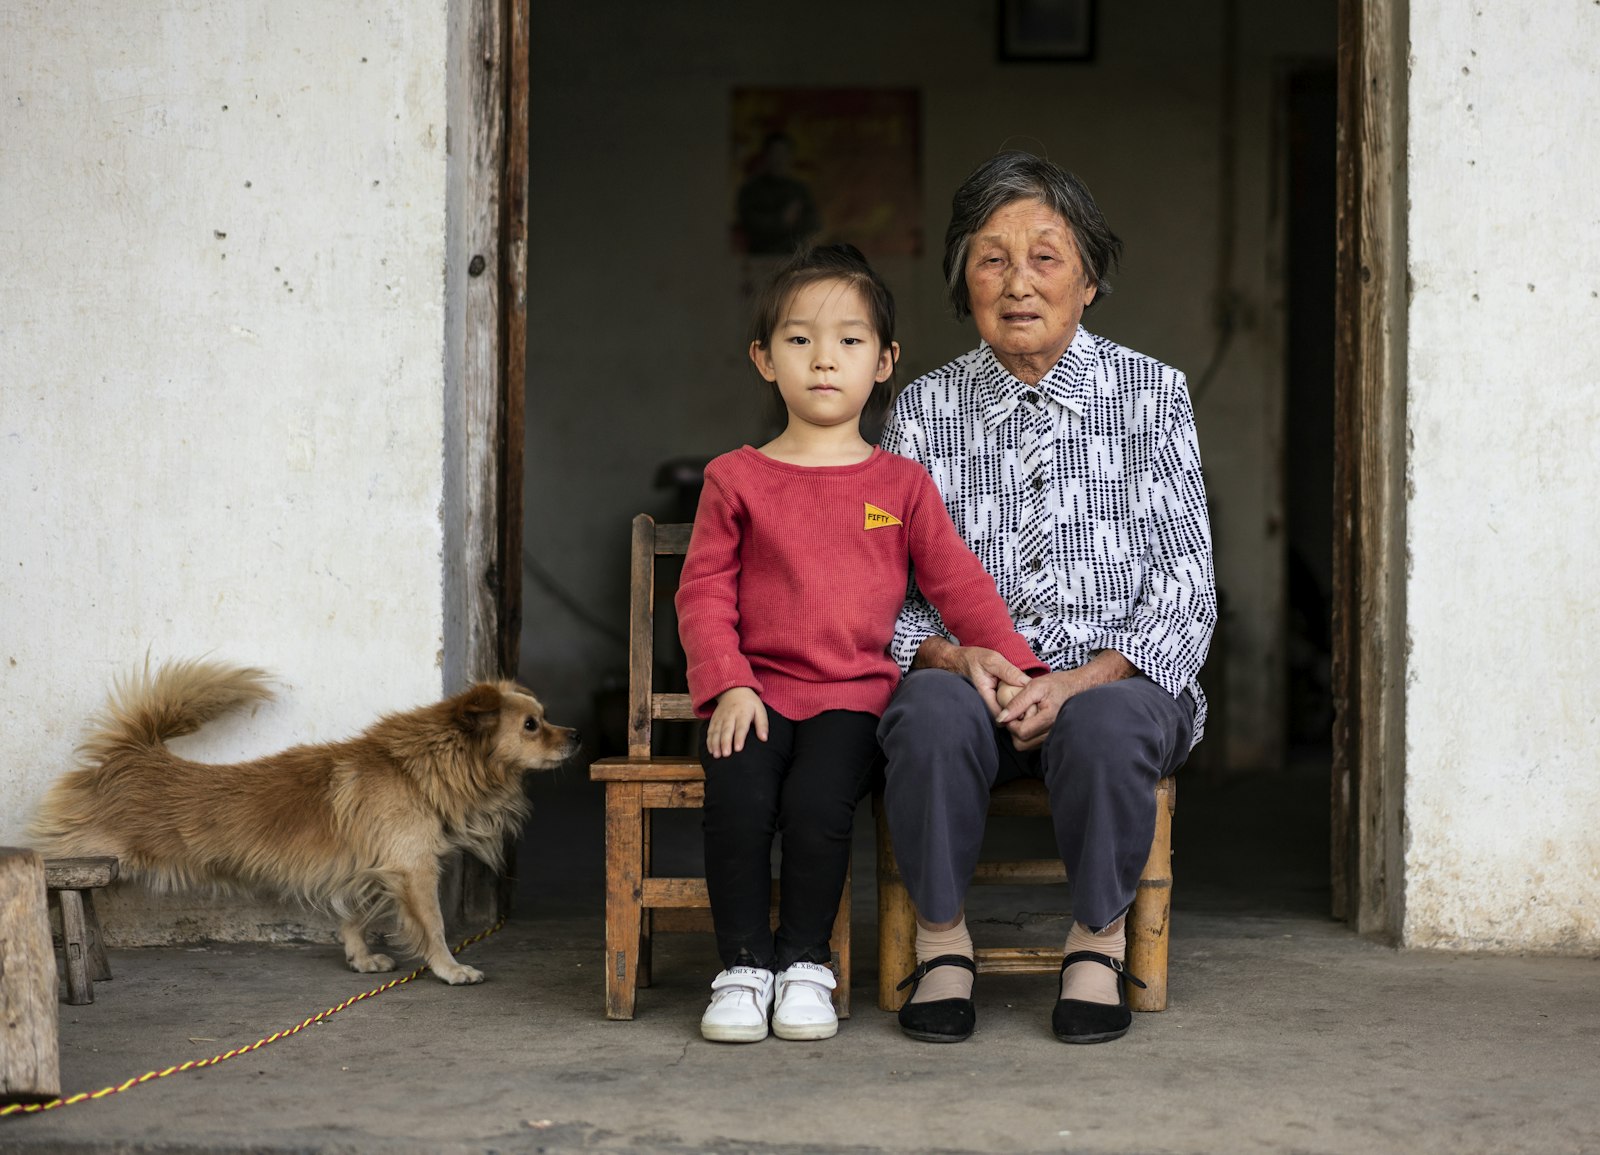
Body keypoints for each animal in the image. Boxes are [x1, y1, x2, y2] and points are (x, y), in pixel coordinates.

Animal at [31, 655, 579, 979]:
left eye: (544, 718)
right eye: (532, 726)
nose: (576, 736)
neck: (417, 768)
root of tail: (132, 755)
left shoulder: (370, 866)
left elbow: (355, 915)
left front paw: (360, 958)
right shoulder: (413, 870)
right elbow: (434, 925)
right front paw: (449, 969)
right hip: (78, 861)